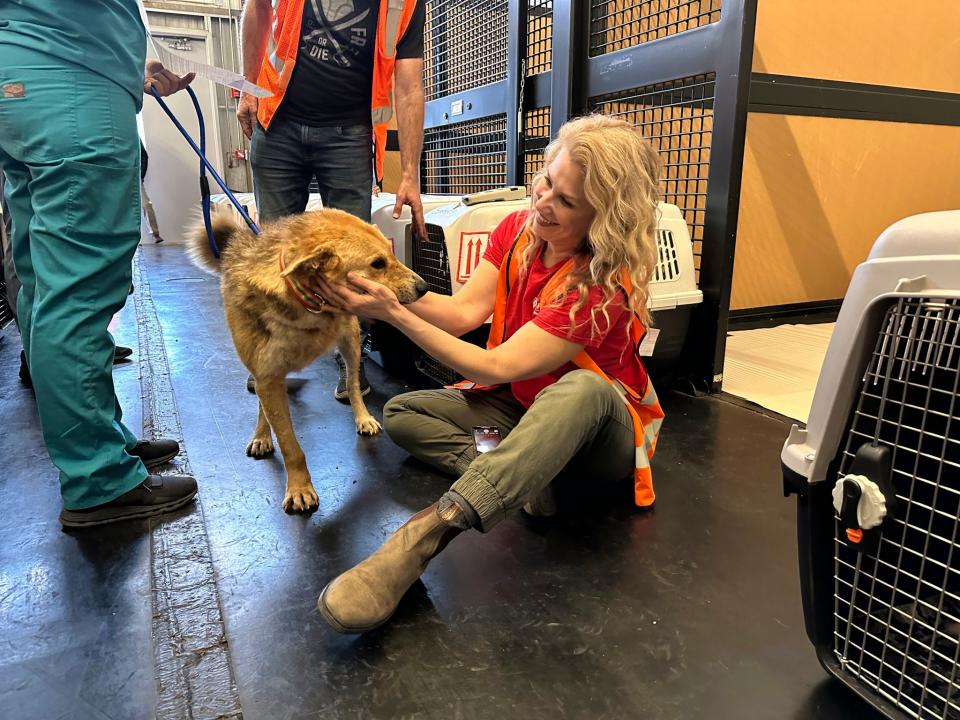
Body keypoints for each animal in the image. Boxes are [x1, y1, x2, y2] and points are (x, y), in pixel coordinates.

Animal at [189, 208, 426, 512]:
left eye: (391, 252)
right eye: (377, 263)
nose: (425, 287)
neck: (303, 303)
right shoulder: (266, 376)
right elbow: (289, 443)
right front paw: (299, 487)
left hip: (350, 343)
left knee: (352, 384)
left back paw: (362, 417)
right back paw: (262, 435)